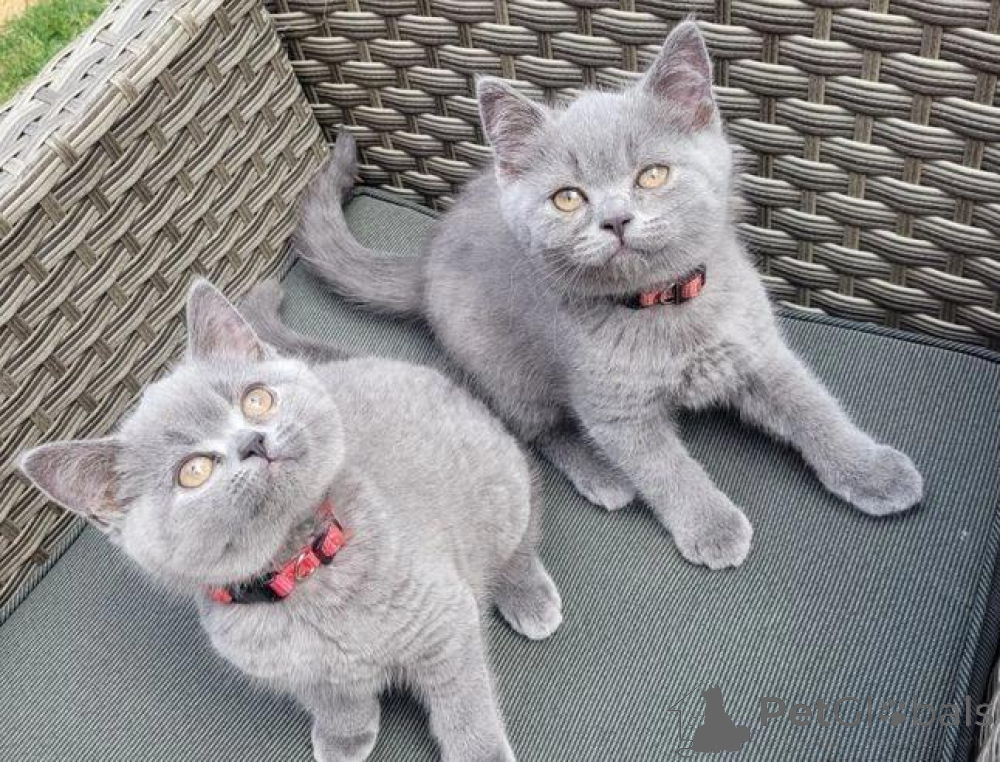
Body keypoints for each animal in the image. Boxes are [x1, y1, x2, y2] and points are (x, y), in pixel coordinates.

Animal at [19, 280, 562, 762]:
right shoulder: (300, 677)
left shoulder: (445, 622)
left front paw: (481, 752)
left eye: (256, 399)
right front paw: (345, 737)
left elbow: (465, 709)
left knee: (523, 533)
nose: (252, 442)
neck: (302, 568)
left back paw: (529, 596)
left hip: (502, 487)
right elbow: (337, 700)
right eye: (193, 472)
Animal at [286, 20, 923, 570]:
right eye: (568, 198)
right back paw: (603, 475)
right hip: (504, 364)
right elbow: (664, 466)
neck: (668, 305)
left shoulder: (758, 348)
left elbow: (812, 405)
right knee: (539, 426)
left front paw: (870, 471)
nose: (616, 219)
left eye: (652, 175)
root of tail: (423, 263)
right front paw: (711, 524)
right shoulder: (613, 409)